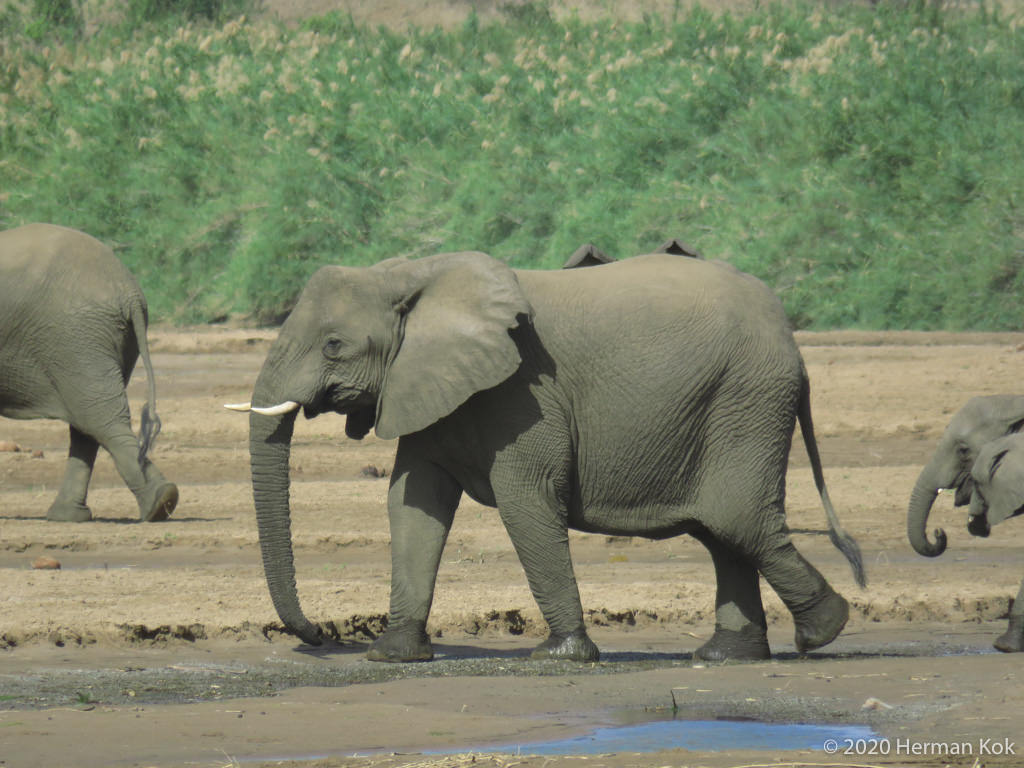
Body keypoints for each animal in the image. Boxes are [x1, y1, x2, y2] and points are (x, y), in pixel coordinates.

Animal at [0, 223, 178, 522]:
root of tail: (128, 290)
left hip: (75, 337)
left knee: (97, 418)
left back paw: (159, 502)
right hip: (100, 340)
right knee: (88, 421)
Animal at [230, 249, 865, 663]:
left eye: (334, 345)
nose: (322, 637)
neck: (413, 274)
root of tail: (790, 339)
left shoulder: (523, 391)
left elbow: (526, 501)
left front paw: (559, 656)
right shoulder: (427, 385)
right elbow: (412, 504)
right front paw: (392, 655)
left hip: (745, 401)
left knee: (737, 519)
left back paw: (821, 633)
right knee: (722, 531)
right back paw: (725, 657)